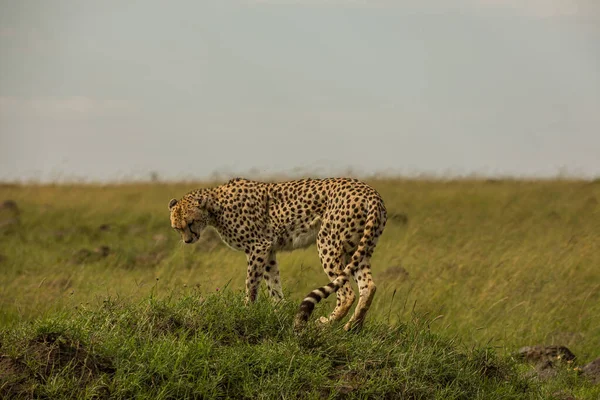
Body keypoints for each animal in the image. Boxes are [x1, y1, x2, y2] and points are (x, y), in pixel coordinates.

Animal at [166, 178, 386, 332]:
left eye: (191, 223)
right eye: (177, 228)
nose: (188, 240)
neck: (215, 207)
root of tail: (370, 191)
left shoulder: (258, 246)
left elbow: (252, 284)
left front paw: (246, 311)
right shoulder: (268, 250)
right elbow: (273, 284)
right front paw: (278, 311)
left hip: (328, 242)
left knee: (346, 293)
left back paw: (324, 324)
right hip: (358, 249)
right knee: (368, 286)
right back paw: (353, 327)